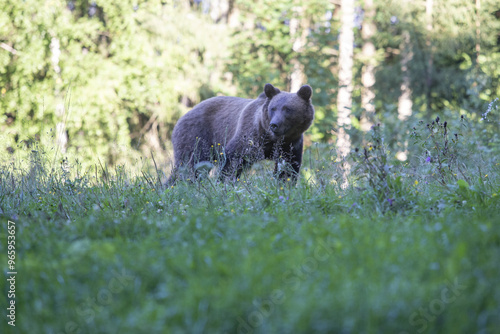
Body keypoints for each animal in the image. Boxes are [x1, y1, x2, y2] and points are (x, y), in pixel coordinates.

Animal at [170, 82, 314, 184]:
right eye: (273, 108)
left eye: (287, 109)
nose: (274, 124)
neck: (271, 138)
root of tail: (183, 116)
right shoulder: (249, 137)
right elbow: (232, 161)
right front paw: (224, 183)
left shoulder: (291, 144)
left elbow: (288, 168)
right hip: (197, 136)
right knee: (192, 162)